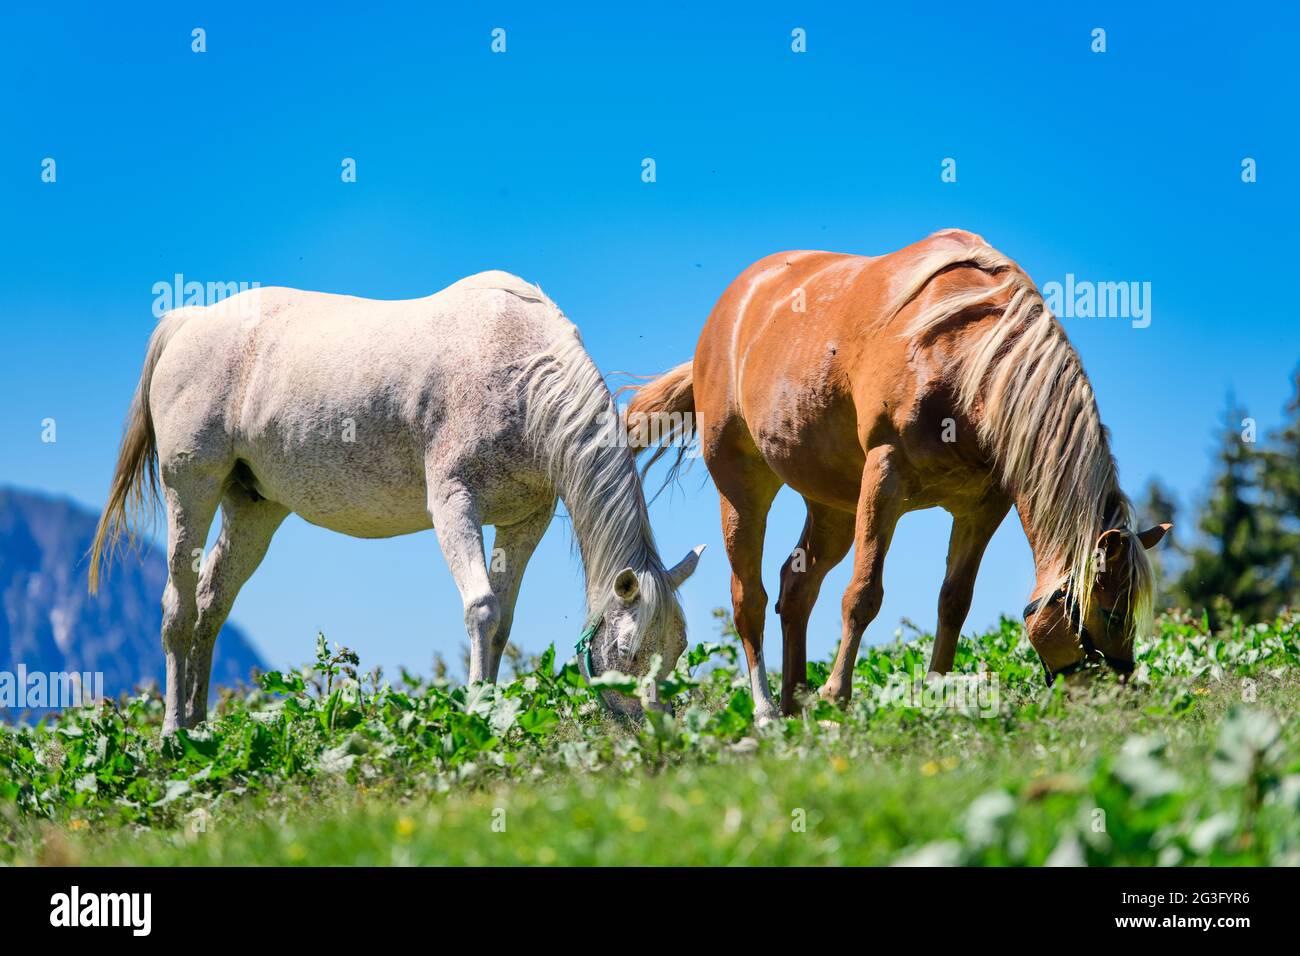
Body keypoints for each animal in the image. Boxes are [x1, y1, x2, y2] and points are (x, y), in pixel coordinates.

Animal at [89, 271, 703, 732]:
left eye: (676, 653)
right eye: (628, 655)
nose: (656, 729)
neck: (521, 372)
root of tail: (187, 321)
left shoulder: (526, 521)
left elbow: (503, 621)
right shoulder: (454, 504)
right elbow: (481, 608)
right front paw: (477, 710)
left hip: (254, 506)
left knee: (213, 601)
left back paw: (199, 726)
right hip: (189, 488)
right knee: (178, 606)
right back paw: (173, 731)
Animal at [627, 229, 1171, 720]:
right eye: (1111, 611)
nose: (1122, 698)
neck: (966, 357)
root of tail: (732, 307)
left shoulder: (981, 506)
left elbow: (954, 601)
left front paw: (933, 695)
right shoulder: (885, 474)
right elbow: (863, 594)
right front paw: (837, 696)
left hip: (832, 507)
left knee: (795, 588)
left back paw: (794, 706)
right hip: (742, 485)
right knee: (750, 599)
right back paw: (765, 711)